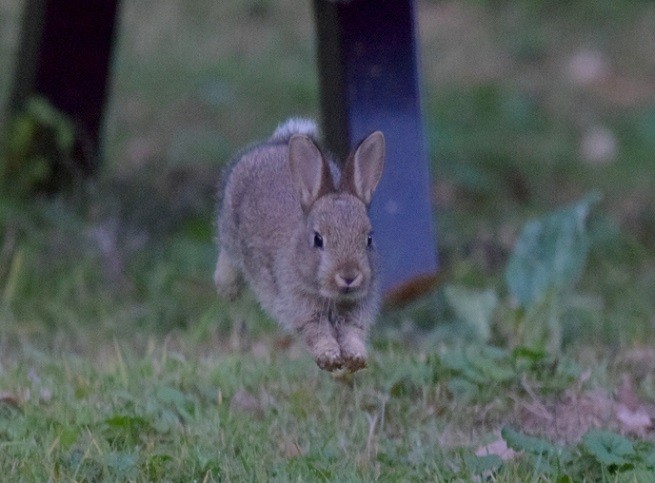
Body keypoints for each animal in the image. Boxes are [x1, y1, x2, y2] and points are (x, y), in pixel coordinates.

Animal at [215, 118, 384, 374]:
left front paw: (355, 358)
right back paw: (227, 288)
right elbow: (317, 332)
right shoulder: (300, 306)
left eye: (369, 239)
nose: (348, 276)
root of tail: (278, 143)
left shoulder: (357, 310)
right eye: (318, 239)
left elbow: (352, 333)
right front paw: (329, 358)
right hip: (229, 227)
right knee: (227, 255)